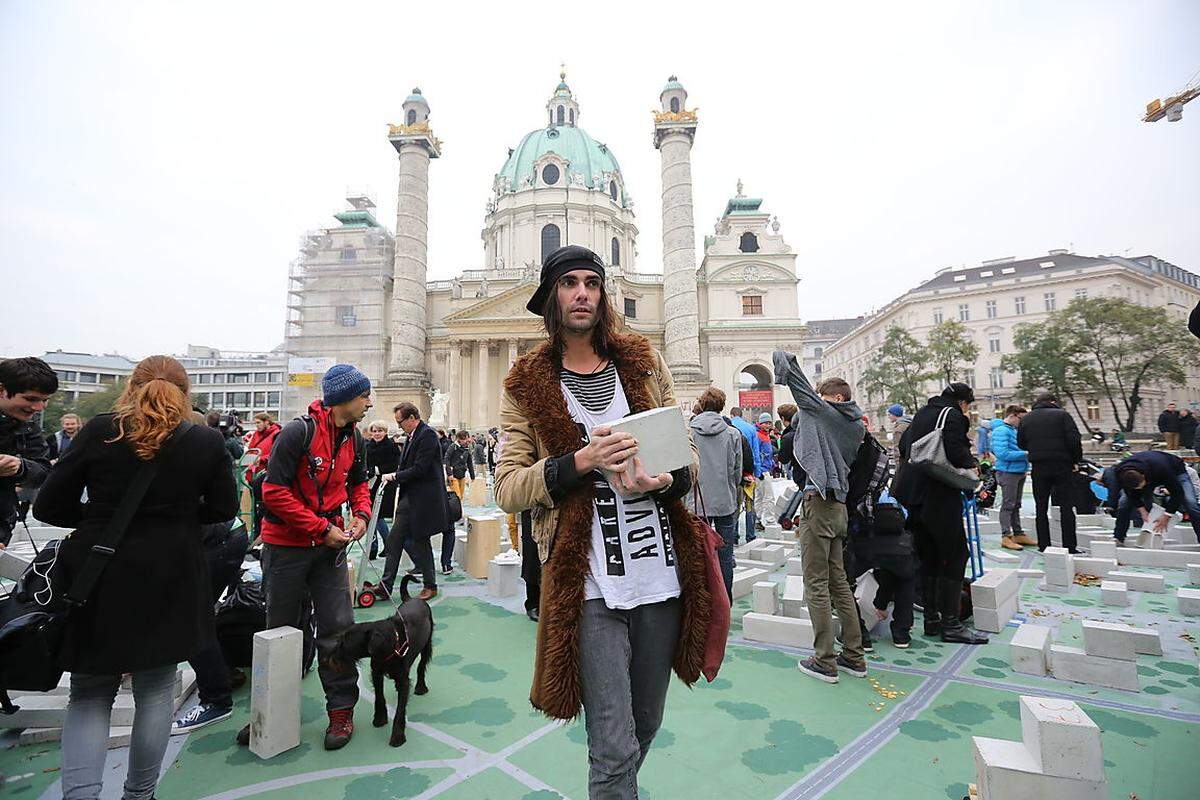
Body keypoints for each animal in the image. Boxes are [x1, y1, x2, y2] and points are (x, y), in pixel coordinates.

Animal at [319, 573, 432, 748]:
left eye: (344, 644)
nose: (325, 658)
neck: (391, 643)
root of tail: (411, 599)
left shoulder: (403, 680)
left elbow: (400, 709)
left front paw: (397, 736)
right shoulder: (376, 673)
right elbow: (379, 696)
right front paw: (379, 718)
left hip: (427, 645)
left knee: (421, 666)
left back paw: (421, 687)